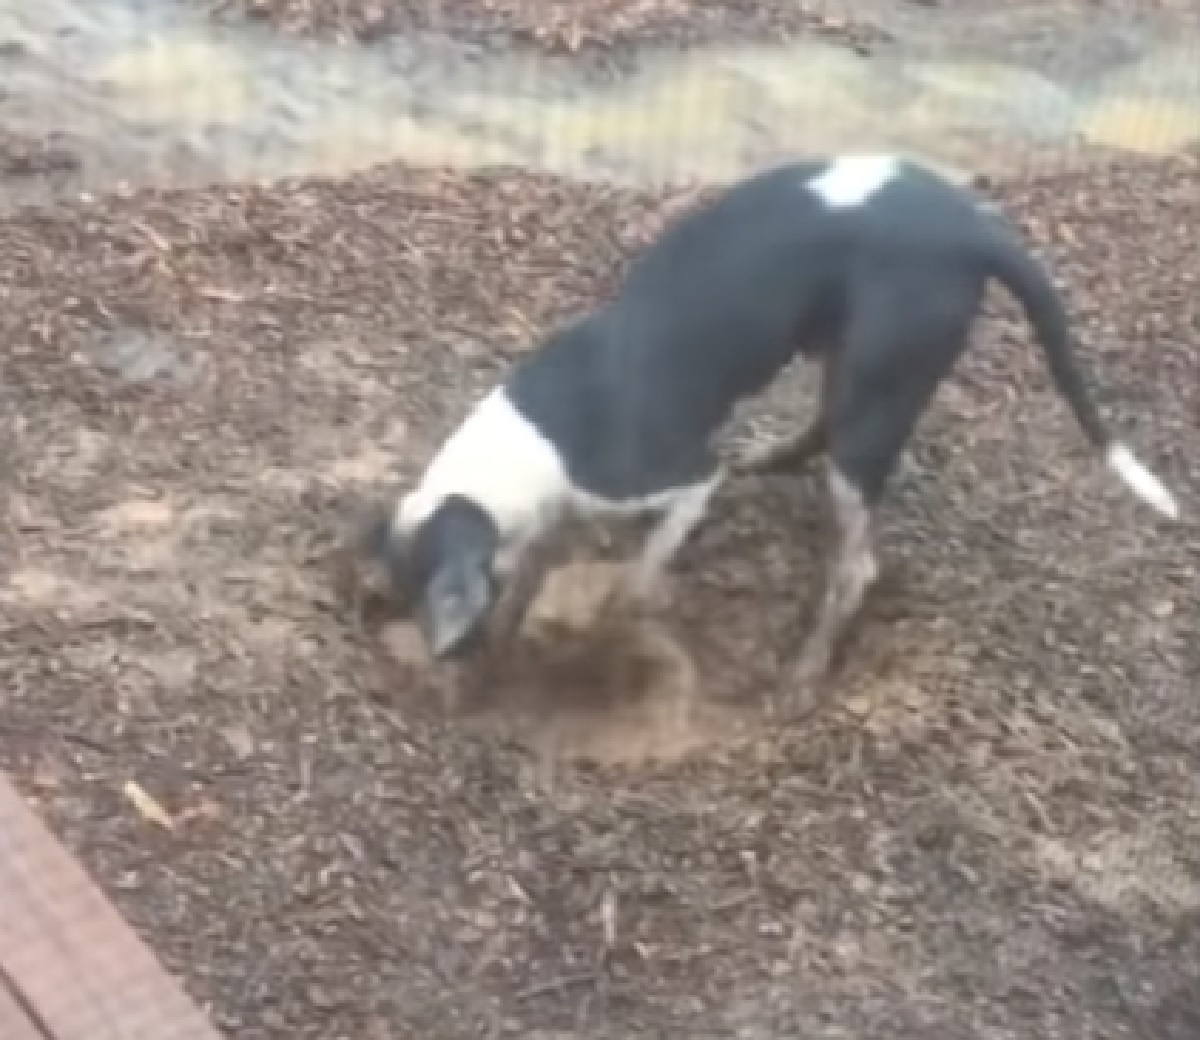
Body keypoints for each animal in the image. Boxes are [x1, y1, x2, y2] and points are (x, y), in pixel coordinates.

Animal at [362, 152, 1171, 705]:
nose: (439, 660)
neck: (535, 441)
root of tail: (976, 230)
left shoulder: (683, 479)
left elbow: (644, 564)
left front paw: (614, 620)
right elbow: (533, 575)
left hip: (879, 392)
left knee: (855, 568)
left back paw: (801, 682)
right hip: (850, 359)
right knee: (820, 436)